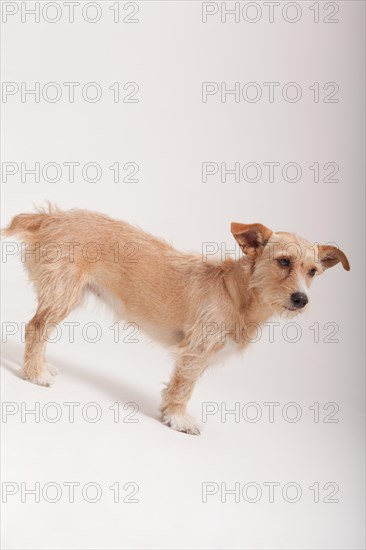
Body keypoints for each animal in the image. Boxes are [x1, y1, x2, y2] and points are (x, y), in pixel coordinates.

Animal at [2, 207, 352, 436]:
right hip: (63, 295)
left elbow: (176, 385)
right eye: (284, 261)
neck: (237, 292)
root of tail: (51, 216)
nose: (302, 299)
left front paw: (168, 412)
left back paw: (42, 366)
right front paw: (178, 419)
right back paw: (35, 373)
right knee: (35, 327)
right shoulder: (195, 352)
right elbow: (185, 387)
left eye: (313, 271)